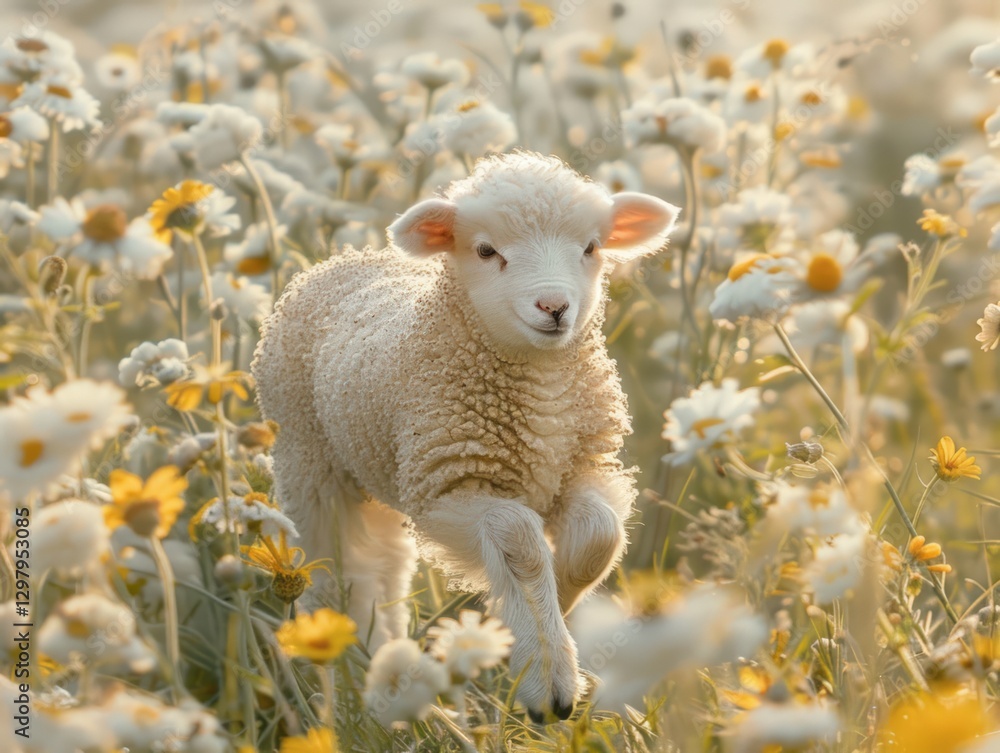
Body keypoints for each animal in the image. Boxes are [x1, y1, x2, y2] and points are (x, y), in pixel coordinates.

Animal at [252, 151, 679, 721]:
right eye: (485, 250)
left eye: (591, 247)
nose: (554, 307)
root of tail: (338, 262)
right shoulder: (444, 493)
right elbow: (519, 540)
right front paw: (546, 674)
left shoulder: (581, 465)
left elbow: (599, 535)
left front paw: (558, 602)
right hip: (310, 460)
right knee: (343, 570)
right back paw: (350, 674)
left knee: (387, 564)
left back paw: (387, 663)